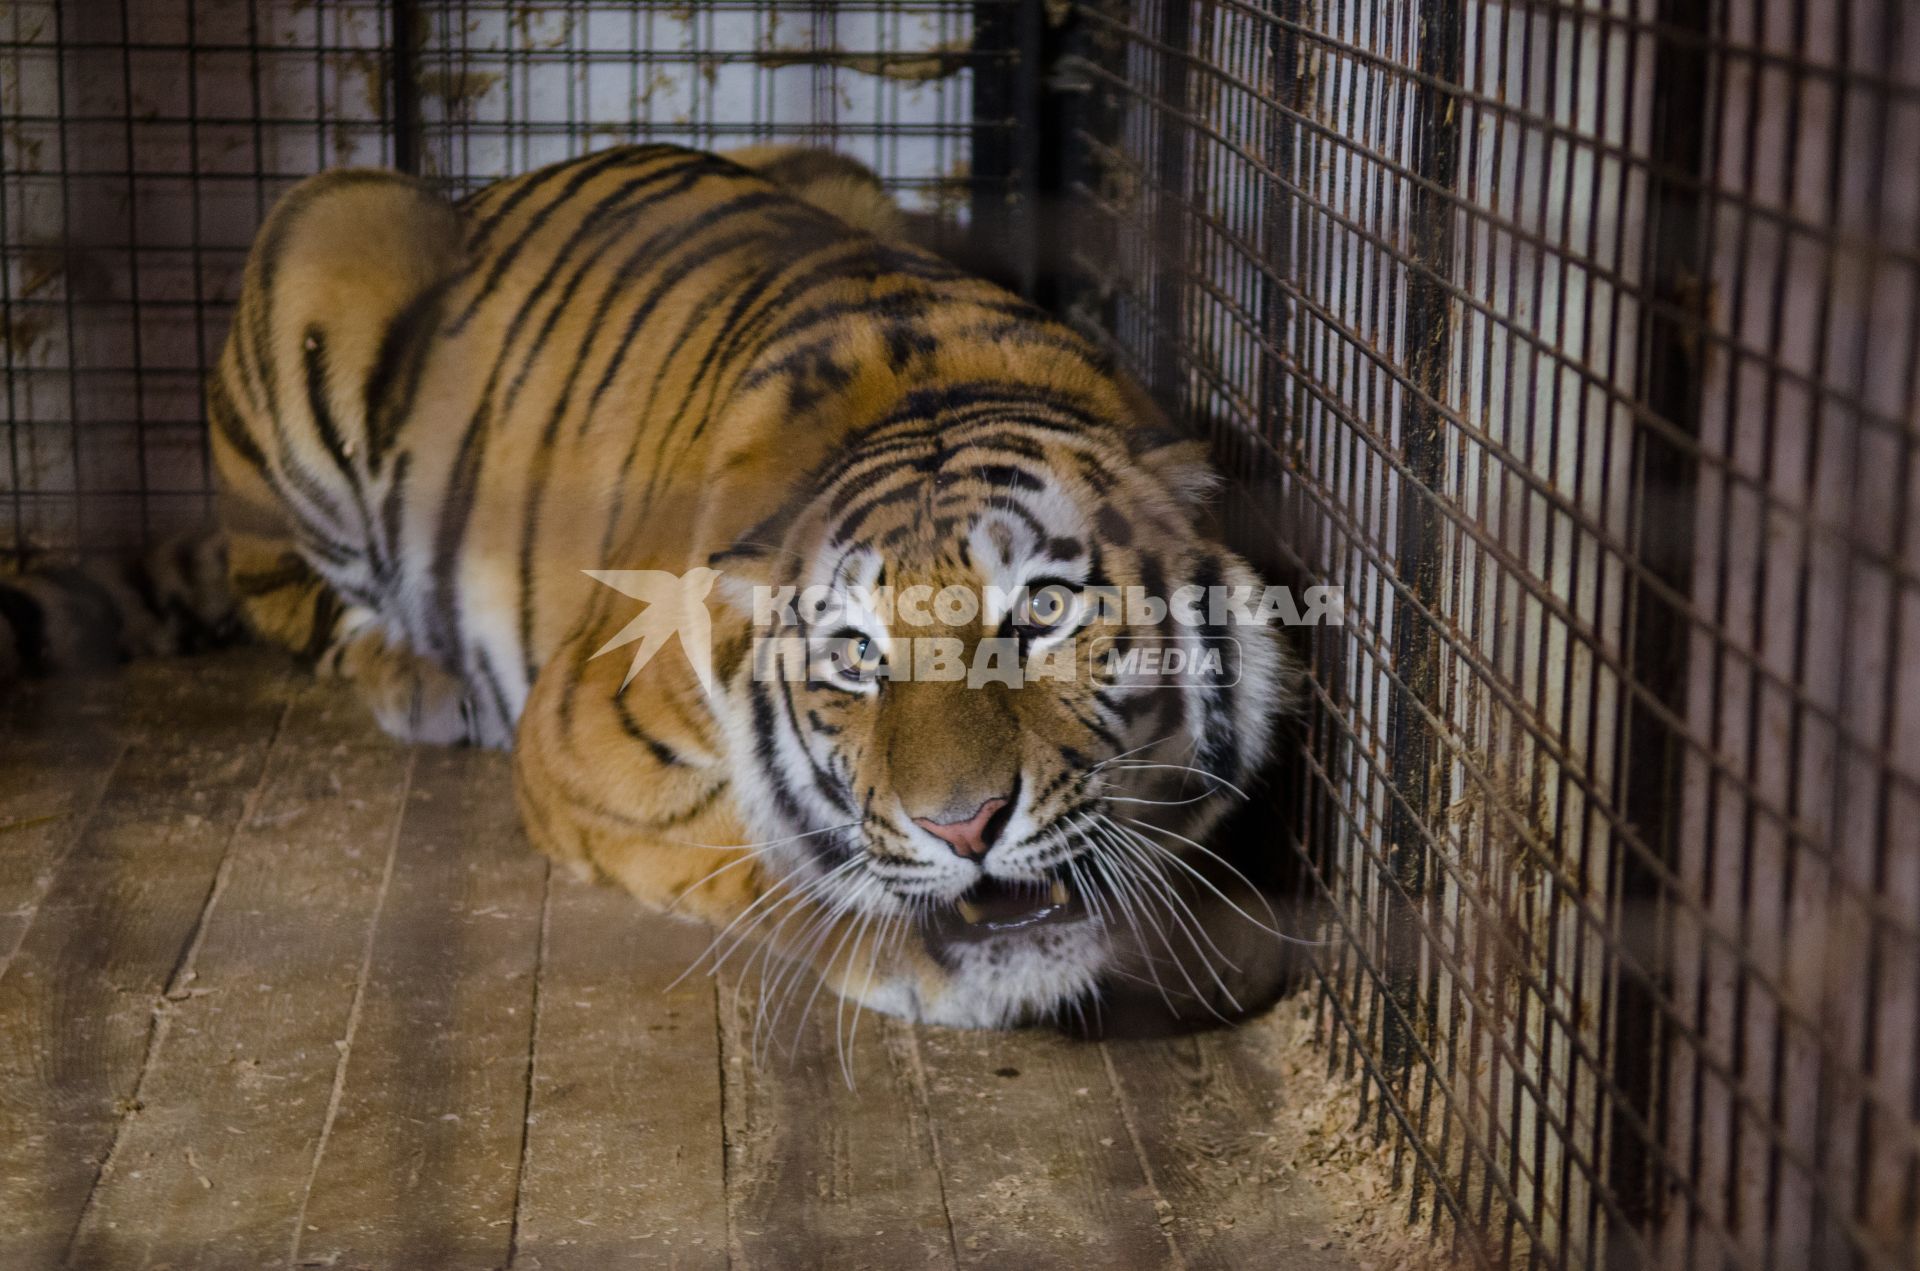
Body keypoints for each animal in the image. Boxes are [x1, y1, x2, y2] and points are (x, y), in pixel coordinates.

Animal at [3, 143, 1305, 1029]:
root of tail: (484, 186)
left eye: (1041, 611)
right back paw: (418, 678)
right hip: (326, 227)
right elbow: (762, 847)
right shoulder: (581, 744)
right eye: (855, 657)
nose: (964, 825)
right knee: (289, 597)